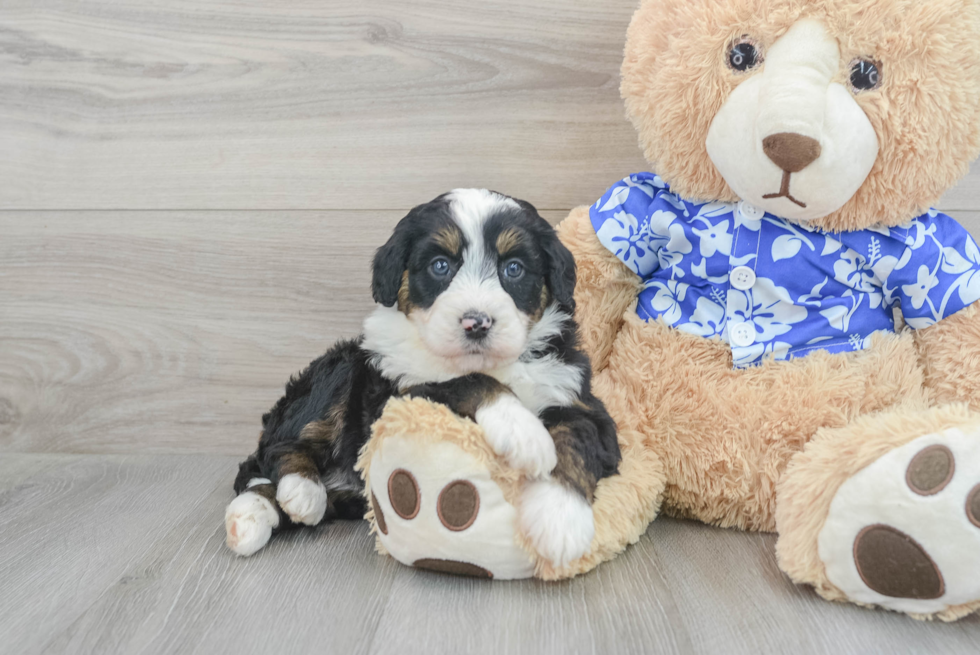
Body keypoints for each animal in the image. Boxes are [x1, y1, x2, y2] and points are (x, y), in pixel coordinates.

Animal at [224, 190, 620, 568]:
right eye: (440, 266)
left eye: (514, 268)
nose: (476, 323)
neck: (493, 362)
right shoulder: (398, 395)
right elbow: (465, 382)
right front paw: (523, 432)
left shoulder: (577, 396)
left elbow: (576, 438)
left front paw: (559, 519)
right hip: (339, 370)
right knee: (274, 450)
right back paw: (297, 491)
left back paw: (253, 515)